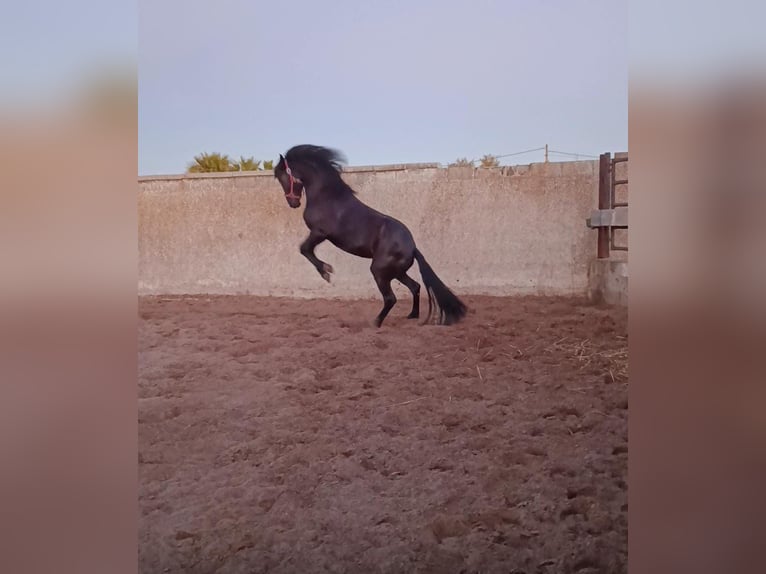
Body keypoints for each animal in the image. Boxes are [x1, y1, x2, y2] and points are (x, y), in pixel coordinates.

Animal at [273, 144, 467, 327]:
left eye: (283, 177)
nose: (293, 203)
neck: (327, 196)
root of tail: (412, 248)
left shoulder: (319, 233)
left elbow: (304, 249)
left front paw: (326, 271)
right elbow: (305, 250)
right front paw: (326, 271)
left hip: (379, 271)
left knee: (391, 298)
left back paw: (376, 322)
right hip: (396, 273)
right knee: (415, 287)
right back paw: (411, 315)